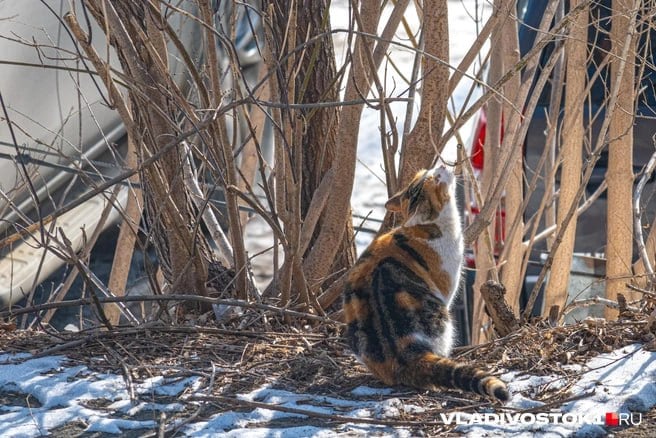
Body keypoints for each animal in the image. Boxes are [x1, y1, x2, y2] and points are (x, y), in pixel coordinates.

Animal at [340, 166, 510, 402]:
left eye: (425, 172)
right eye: (434, 178)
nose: (441, 166)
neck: (427, 227)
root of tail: (403, 353)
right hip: (443, 316)